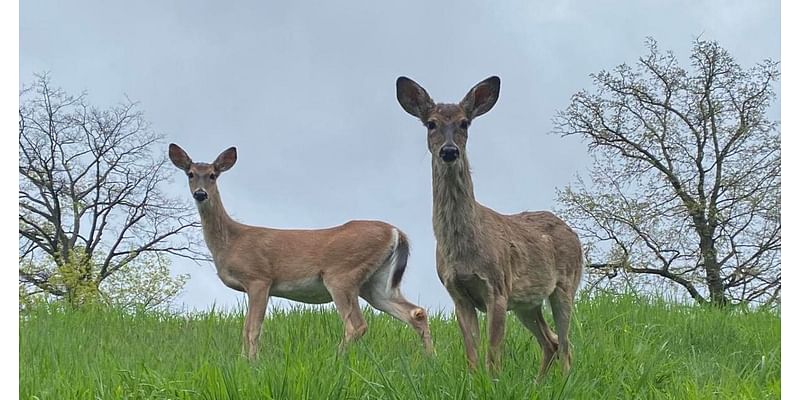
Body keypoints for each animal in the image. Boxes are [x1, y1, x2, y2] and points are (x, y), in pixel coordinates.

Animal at [167, 144, 432, 360]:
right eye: (190, 174)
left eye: (213, 175)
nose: (200, 193)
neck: (231, 240)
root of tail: (396, 231)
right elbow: (246, 328)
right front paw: (244, 361)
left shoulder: (259, 278)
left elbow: (252, 328)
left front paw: (251, 363)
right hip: (375, 283)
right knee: (416, 312)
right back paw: (430, 359)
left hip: (342, 274)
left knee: (356, 325)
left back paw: (335, 360)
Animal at [396, 76, 584, 378]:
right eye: (431, 123)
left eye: (464, 123)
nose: (449, 151)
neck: (463, 249)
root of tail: (573, 233)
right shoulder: (457, 294)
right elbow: (472, 354)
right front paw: (475, 380)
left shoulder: (497, 288)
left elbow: (493, 355)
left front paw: (493, 381)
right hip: (527, 302)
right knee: (551, 341)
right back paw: (539, 383)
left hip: (565, 284)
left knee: (566, 344)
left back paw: (564, 381)